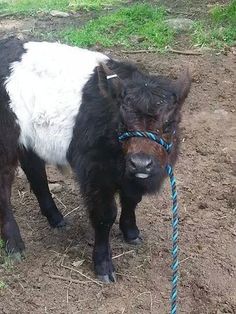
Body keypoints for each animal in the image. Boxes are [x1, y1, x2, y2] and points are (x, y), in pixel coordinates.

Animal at [0, 36, 191, 282]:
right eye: (122, 123)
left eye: (168, 125)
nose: (141, 162)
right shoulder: (95, 173)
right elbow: (105, 215)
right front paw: (103, 265)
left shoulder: (131, 177)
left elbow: (132, 200)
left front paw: (131, 233)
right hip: (5, 142)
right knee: (4, 188)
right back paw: (14, 244)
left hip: (28, 140)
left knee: (35, 171)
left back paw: (56, 219)